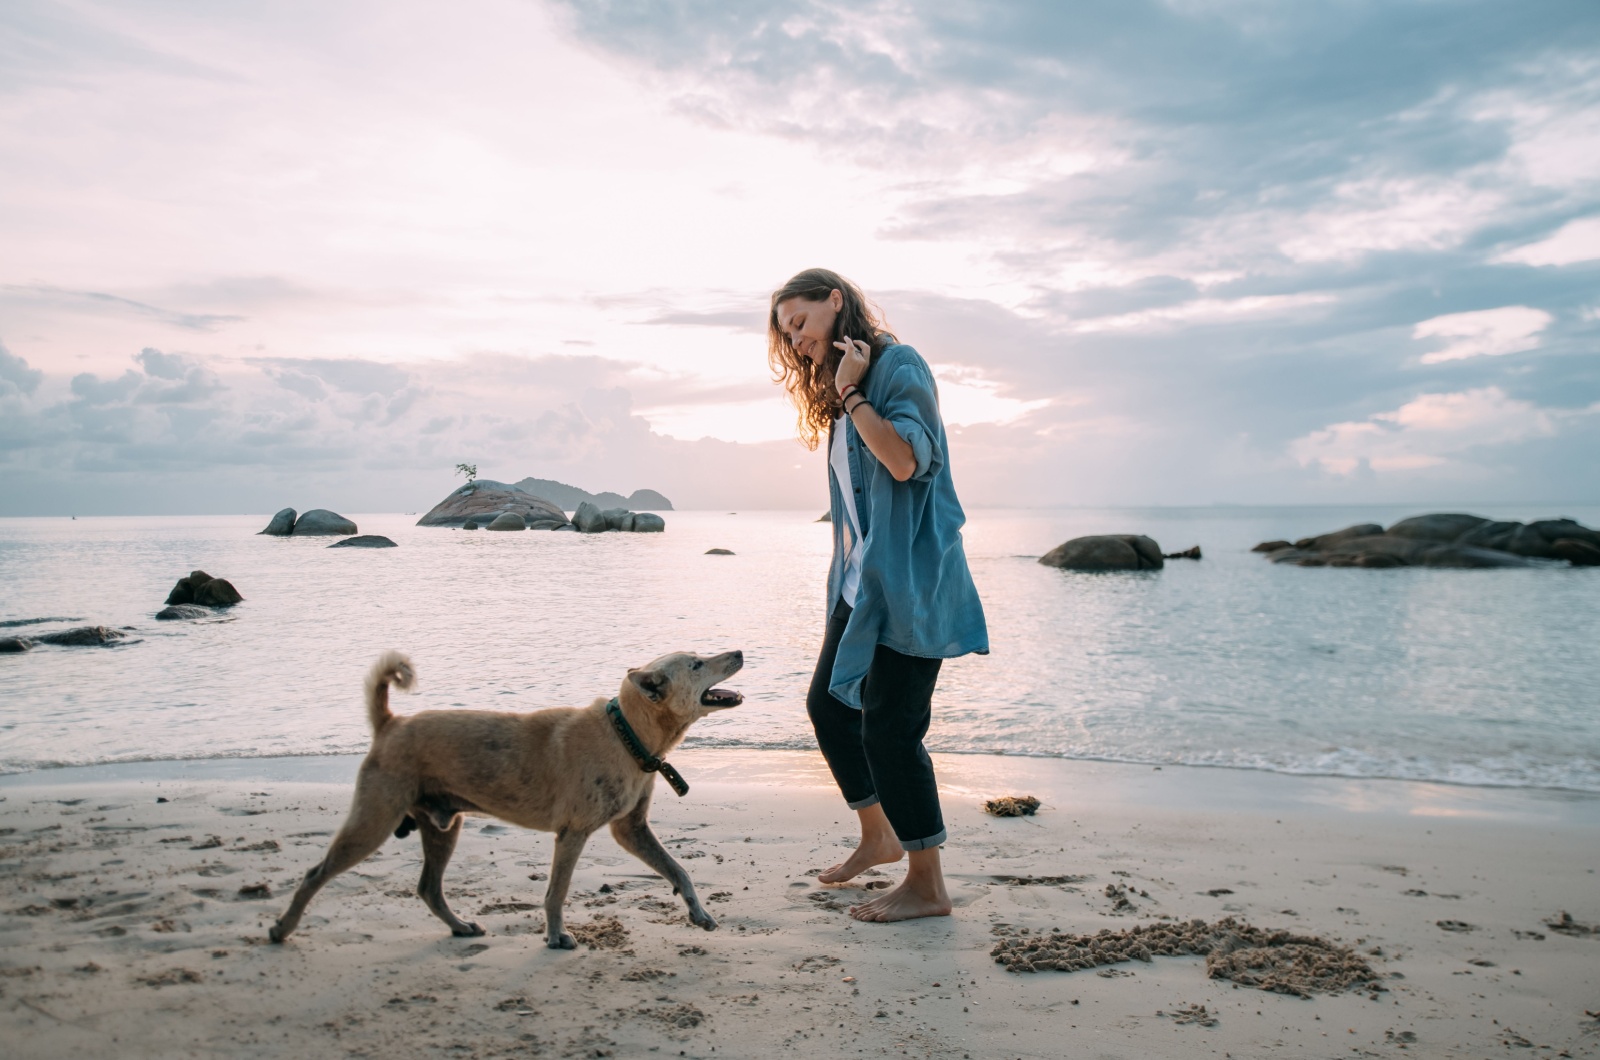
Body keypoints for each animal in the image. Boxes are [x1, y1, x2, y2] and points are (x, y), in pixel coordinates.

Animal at [268, 653, 742, 947]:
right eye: (697, 663)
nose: (738, 652)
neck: (624, 732)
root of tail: (390, 722)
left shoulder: (632, 830)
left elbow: (678, 870)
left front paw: (698, 913)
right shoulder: (573, 835)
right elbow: (557, 891)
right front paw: (555, 937)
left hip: (442, 827)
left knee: (428, 888)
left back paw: (460, 926)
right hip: (373, 820)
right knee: (315, 873)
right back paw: (282, 928)